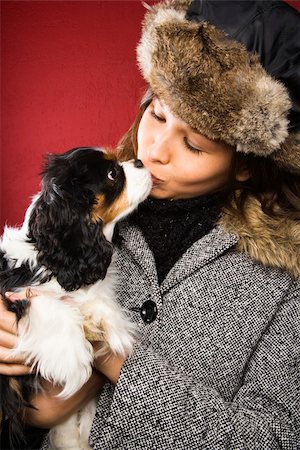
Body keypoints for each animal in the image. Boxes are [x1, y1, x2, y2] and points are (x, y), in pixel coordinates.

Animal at [0, 146, 152, 448]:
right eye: (112, 174)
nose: (140, 160)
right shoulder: (12, 291)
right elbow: (43, 302)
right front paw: (73, 358)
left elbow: (97, 304)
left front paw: (108, 325)